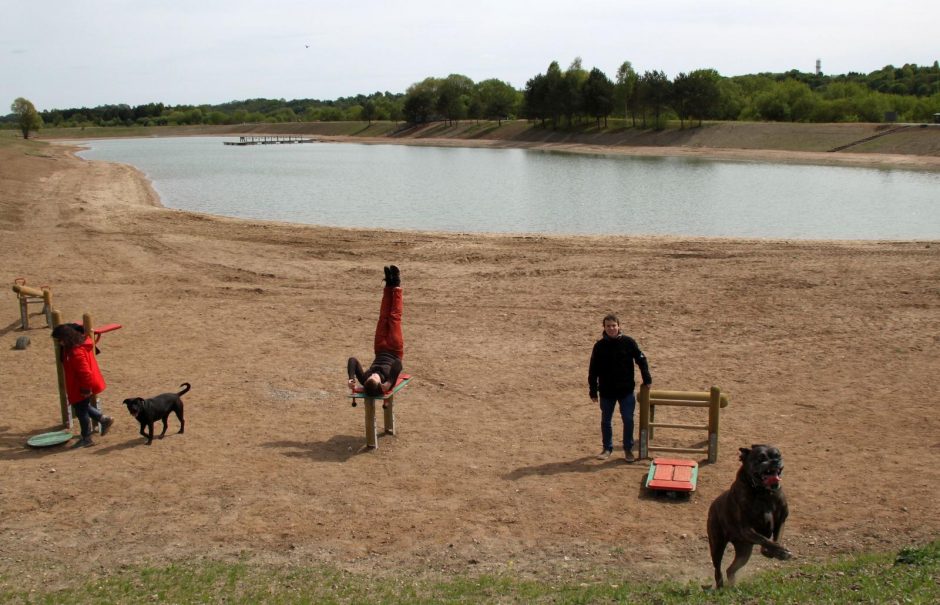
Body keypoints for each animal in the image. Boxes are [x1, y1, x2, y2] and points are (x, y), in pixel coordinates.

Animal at [708, 442, 788, 588]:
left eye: (778, 455)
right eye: (761, 458)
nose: (775, 461)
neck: (763, 493)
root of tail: (713, 504)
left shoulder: (781, 521)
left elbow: (774, 539)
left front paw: (777, 552)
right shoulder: (746, 529)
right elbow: (764, 539)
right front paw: (781, 551)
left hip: (744, 551)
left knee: (730, 569)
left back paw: (732, 586)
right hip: (717, 545)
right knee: (718, 569)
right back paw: (721, 586)